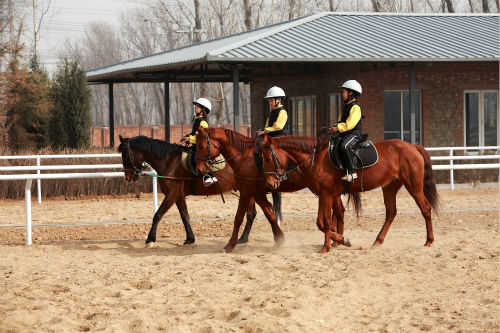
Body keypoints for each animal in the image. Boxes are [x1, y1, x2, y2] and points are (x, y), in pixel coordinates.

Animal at [117, 135, 258, 246]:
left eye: (126, 155)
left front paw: (150, 239)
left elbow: (157, 215)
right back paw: (243, 238)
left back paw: (243, 238)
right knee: (251, 214)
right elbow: (185, 216)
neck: (168, 161)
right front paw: (190, 239)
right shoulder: (178, 195)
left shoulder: (172, 194)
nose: (128, 177)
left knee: (250, 214)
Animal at [193, 127, 350, 252]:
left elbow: (239, 218)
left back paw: (336, 239)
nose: (199, 169)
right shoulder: (257, 193)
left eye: (200, 145)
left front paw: (230, 245)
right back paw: (337, 238)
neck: (243, 157)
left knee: (338, 213)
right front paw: (279, 239)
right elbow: (270, 214)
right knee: (338, 212)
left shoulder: (246, 192)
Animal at [258, 132, 438, 252]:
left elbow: (325, 222)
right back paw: (377, 241)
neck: (316, 159)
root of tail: (412, 146)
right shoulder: (324, 195)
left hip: (414, 187)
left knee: (425, 209)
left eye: (268, 158)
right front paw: (340, 240)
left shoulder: (326, 195)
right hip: (389, 187)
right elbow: (322, 222)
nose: (270, 183)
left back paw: (429, 241)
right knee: (391, 213)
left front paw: (328, 246)